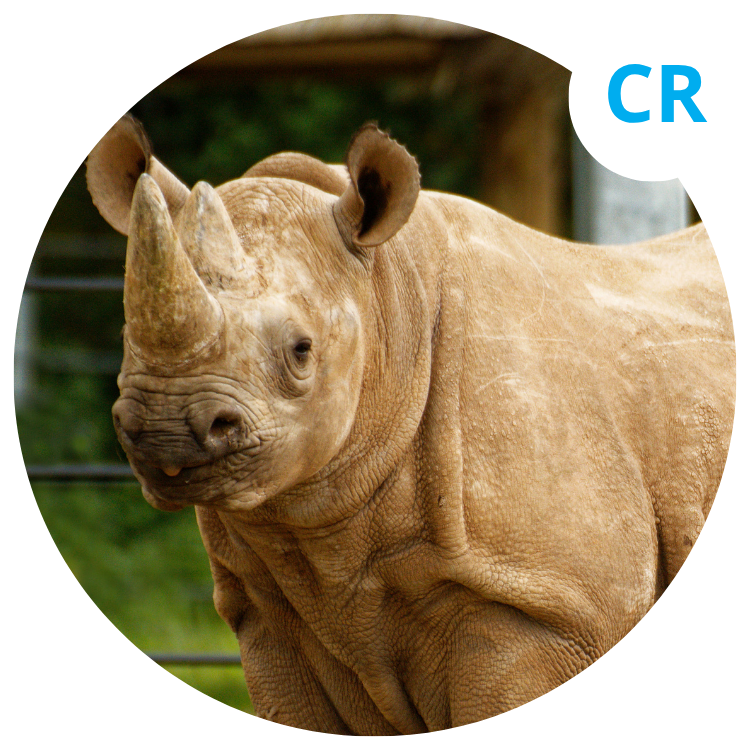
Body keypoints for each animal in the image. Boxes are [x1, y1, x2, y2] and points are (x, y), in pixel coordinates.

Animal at [87, 114, 735, 734]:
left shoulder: (547, 605)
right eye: (124, 336)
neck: (387, 302)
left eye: (301, 351)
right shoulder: (271, 615)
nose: (166, 427)